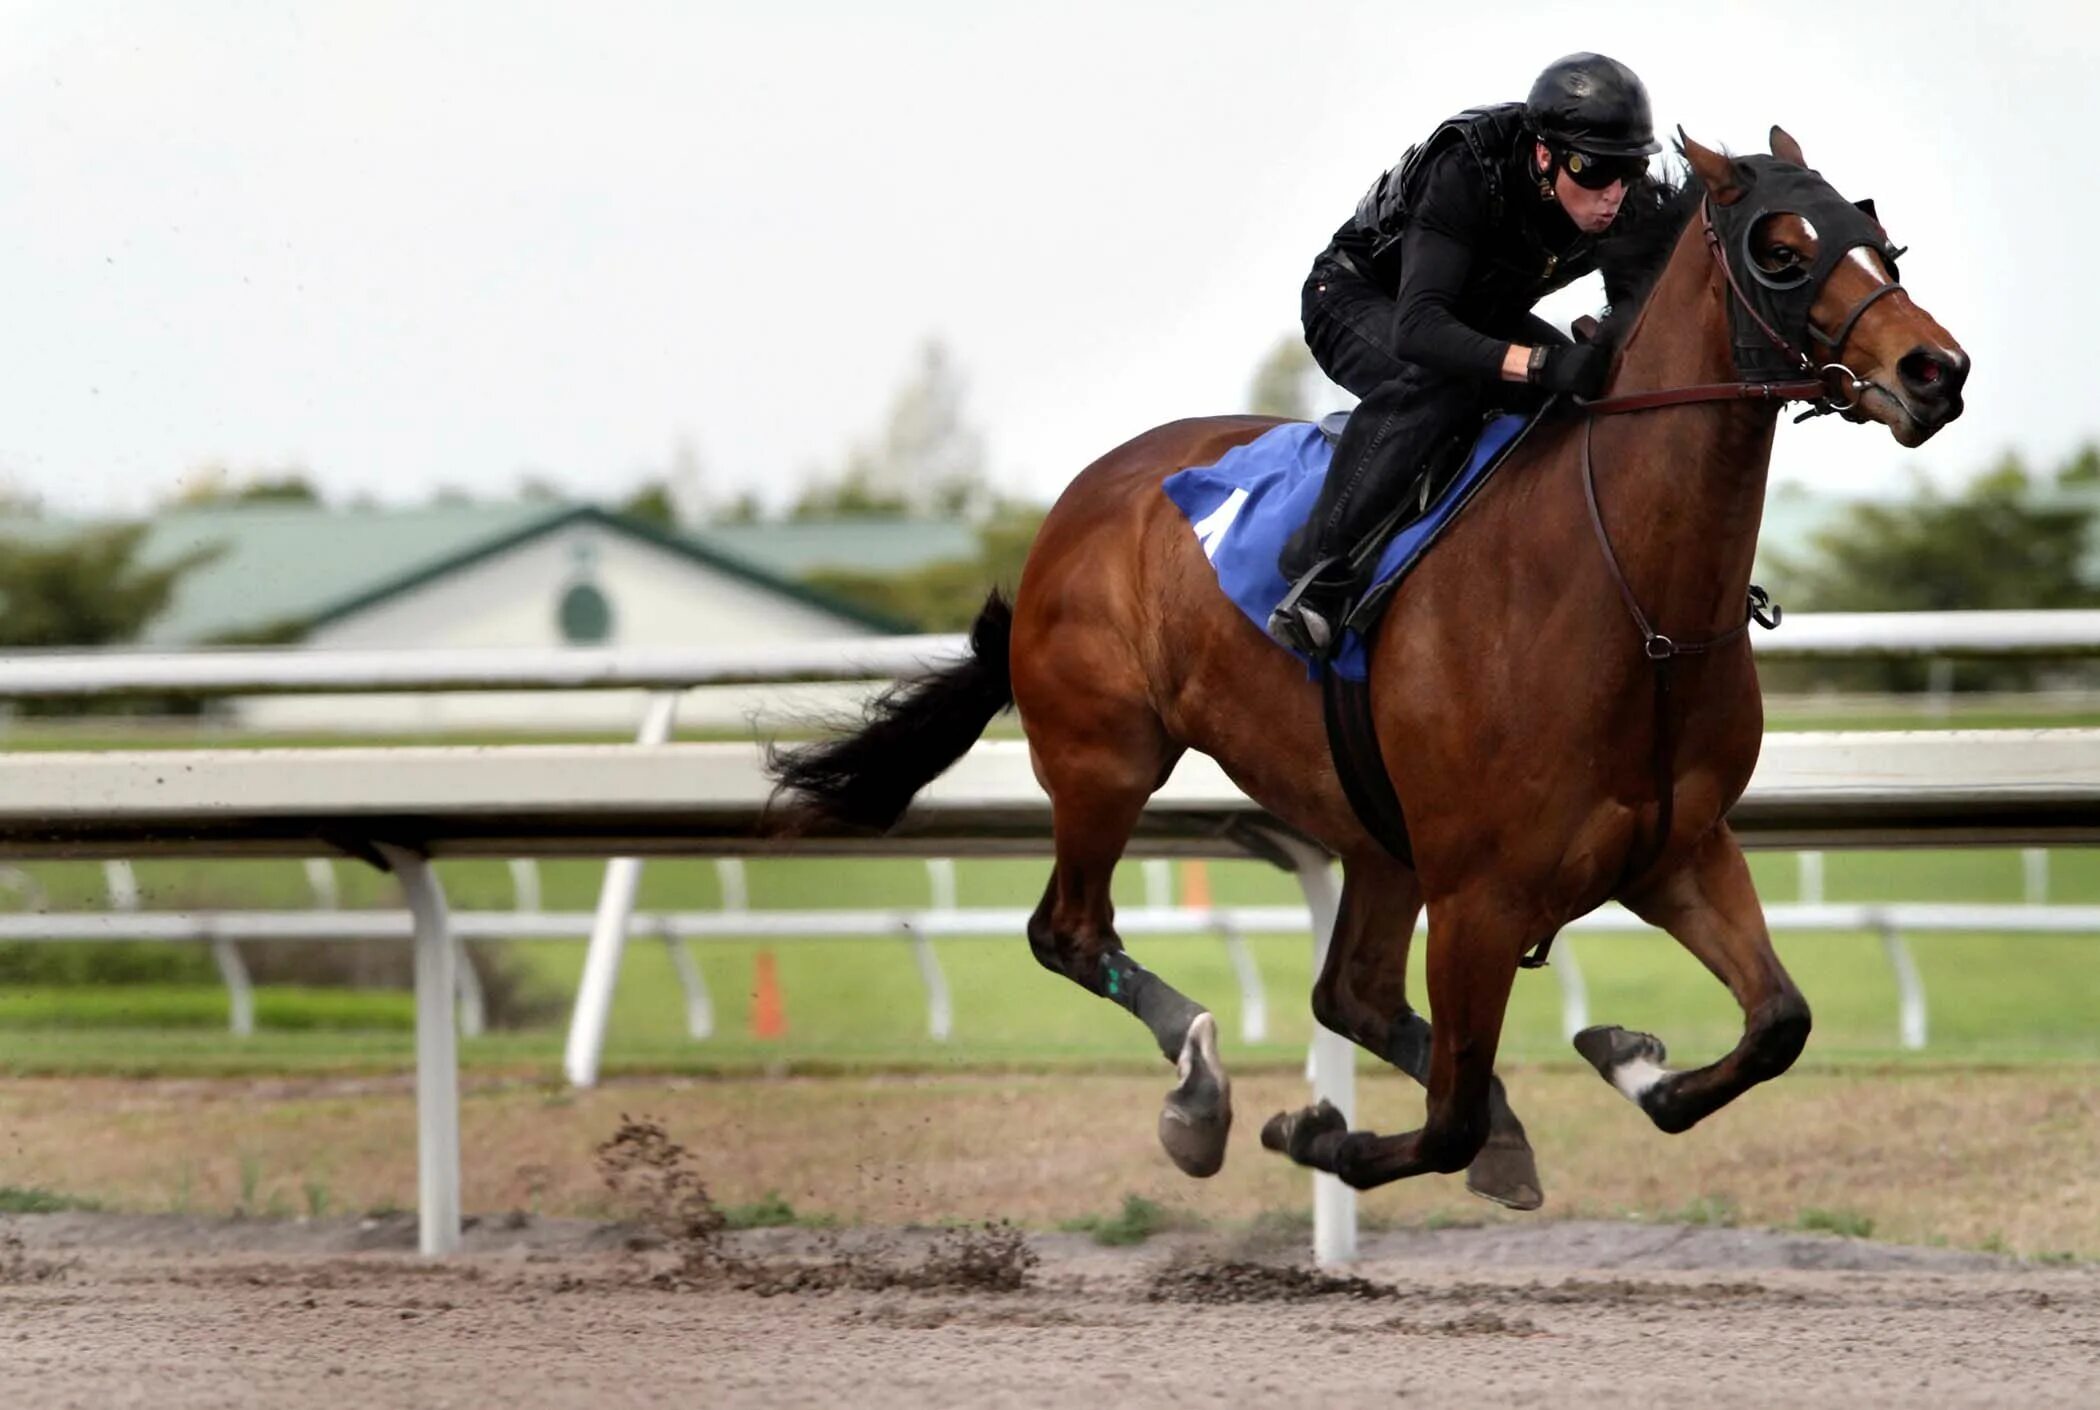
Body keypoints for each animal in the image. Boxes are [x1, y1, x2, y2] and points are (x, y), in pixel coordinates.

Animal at [772, 132, 1965, 1210]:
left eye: (1880, 236)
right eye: (1782, 248)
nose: (1936, 370)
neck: (1629, 599)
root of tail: (1078, 504)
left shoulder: (1678, 847)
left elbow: (1777, 1026)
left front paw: (1627, 1057)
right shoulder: (1481, 895)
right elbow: (1445, 1121)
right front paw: (1320, 1136)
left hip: (1373, 830)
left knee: (1349, 994)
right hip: (1106, 755)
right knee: (1070, 931)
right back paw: (1199, 1089)